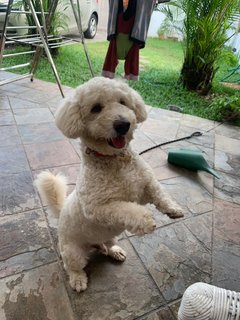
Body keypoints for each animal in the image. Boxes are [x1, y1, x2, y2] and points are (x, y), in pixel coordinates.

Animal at [34, 77, 184, 292]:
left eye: (123, 102)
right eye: (96, 108)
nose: (123, 124)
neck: (115, 159)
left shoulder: (143, 186)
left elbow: (159, 192)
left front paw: (173, 209)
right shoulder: (98, 208)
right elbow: (125, 209)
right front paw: (145, 221)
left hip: (109, 237)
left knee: (106, 245)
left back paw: (114, 251)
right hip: (72, 252)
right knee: (71, 266)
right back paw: (78, 280)